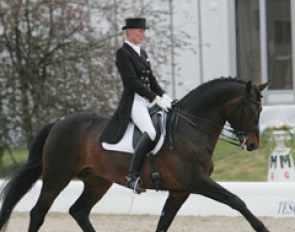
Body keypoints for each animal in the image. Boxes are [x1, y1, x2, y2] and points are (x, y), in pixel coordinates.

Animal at [0, 78, 270, 232]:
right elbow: (237, 201)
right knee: (38, 213)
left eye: (261, 109)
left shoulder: (180, 190)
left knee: (79, 211)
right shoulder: (197, 181)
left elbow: (163, 223)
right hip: (57, 176)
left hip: (97, 181)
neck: (190, 127)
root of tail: (58, 123)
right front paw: (263, 228)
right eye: (251, 109)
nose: (253, 144)